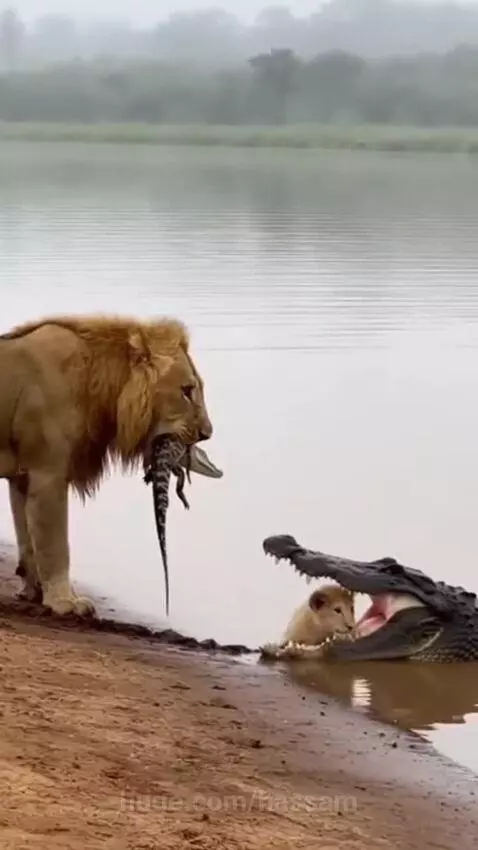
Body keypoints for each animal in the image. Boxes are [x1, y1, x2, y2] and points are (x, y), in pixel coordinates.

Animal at [0, 313, 215, 617]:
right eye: (187, 391)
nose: (207, 433)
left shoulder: (23, 477)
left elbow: (27, 540)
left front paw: (34, 593)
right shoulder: (47, 475)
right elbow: (55, 546)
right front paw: (65, 602)